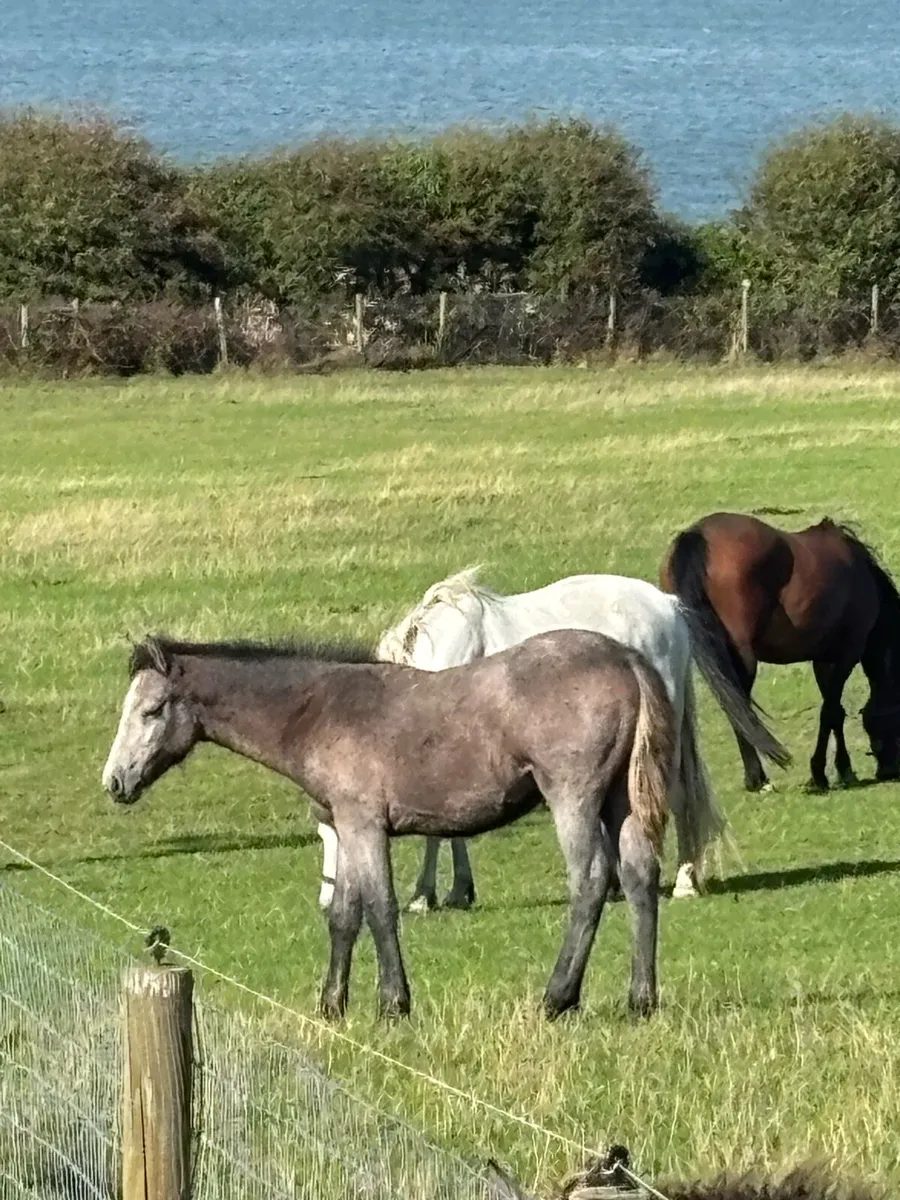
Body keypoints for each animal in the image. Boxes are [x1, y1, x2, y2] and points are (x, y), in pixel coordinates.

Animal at [103, 629, 676, 1020]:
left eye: (152, 710)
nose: (114, 781)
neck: (322, 711)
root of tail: (625, 657)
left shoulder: (364, 824)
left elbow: (380, 908)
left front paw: (393, 1003)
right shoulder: (346, 828)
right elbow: (343, 915)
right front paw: (331, 1004)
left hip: (572, 798)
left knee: (591, 880)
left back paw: (558, 998)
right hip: (620, 802)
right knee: (640, 876)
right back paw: (641, 999)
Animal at [318, 568, 741, 912]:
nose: (327, 901)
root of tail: (668, 606)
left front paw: (425, 895)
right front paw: (458, 889)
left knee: (675, 796)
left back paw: (684, 881)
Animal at [661, 512, 900, 791]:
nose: (888, 771)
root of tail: (697, 535)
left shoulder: (822, 660)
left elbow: (835, 713)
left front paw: (840, 770)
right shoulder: (846, 654)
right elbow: (830, 711)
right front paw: (824, 773)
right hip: (742, 658)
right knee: (741, 709)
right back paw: (757, 778)